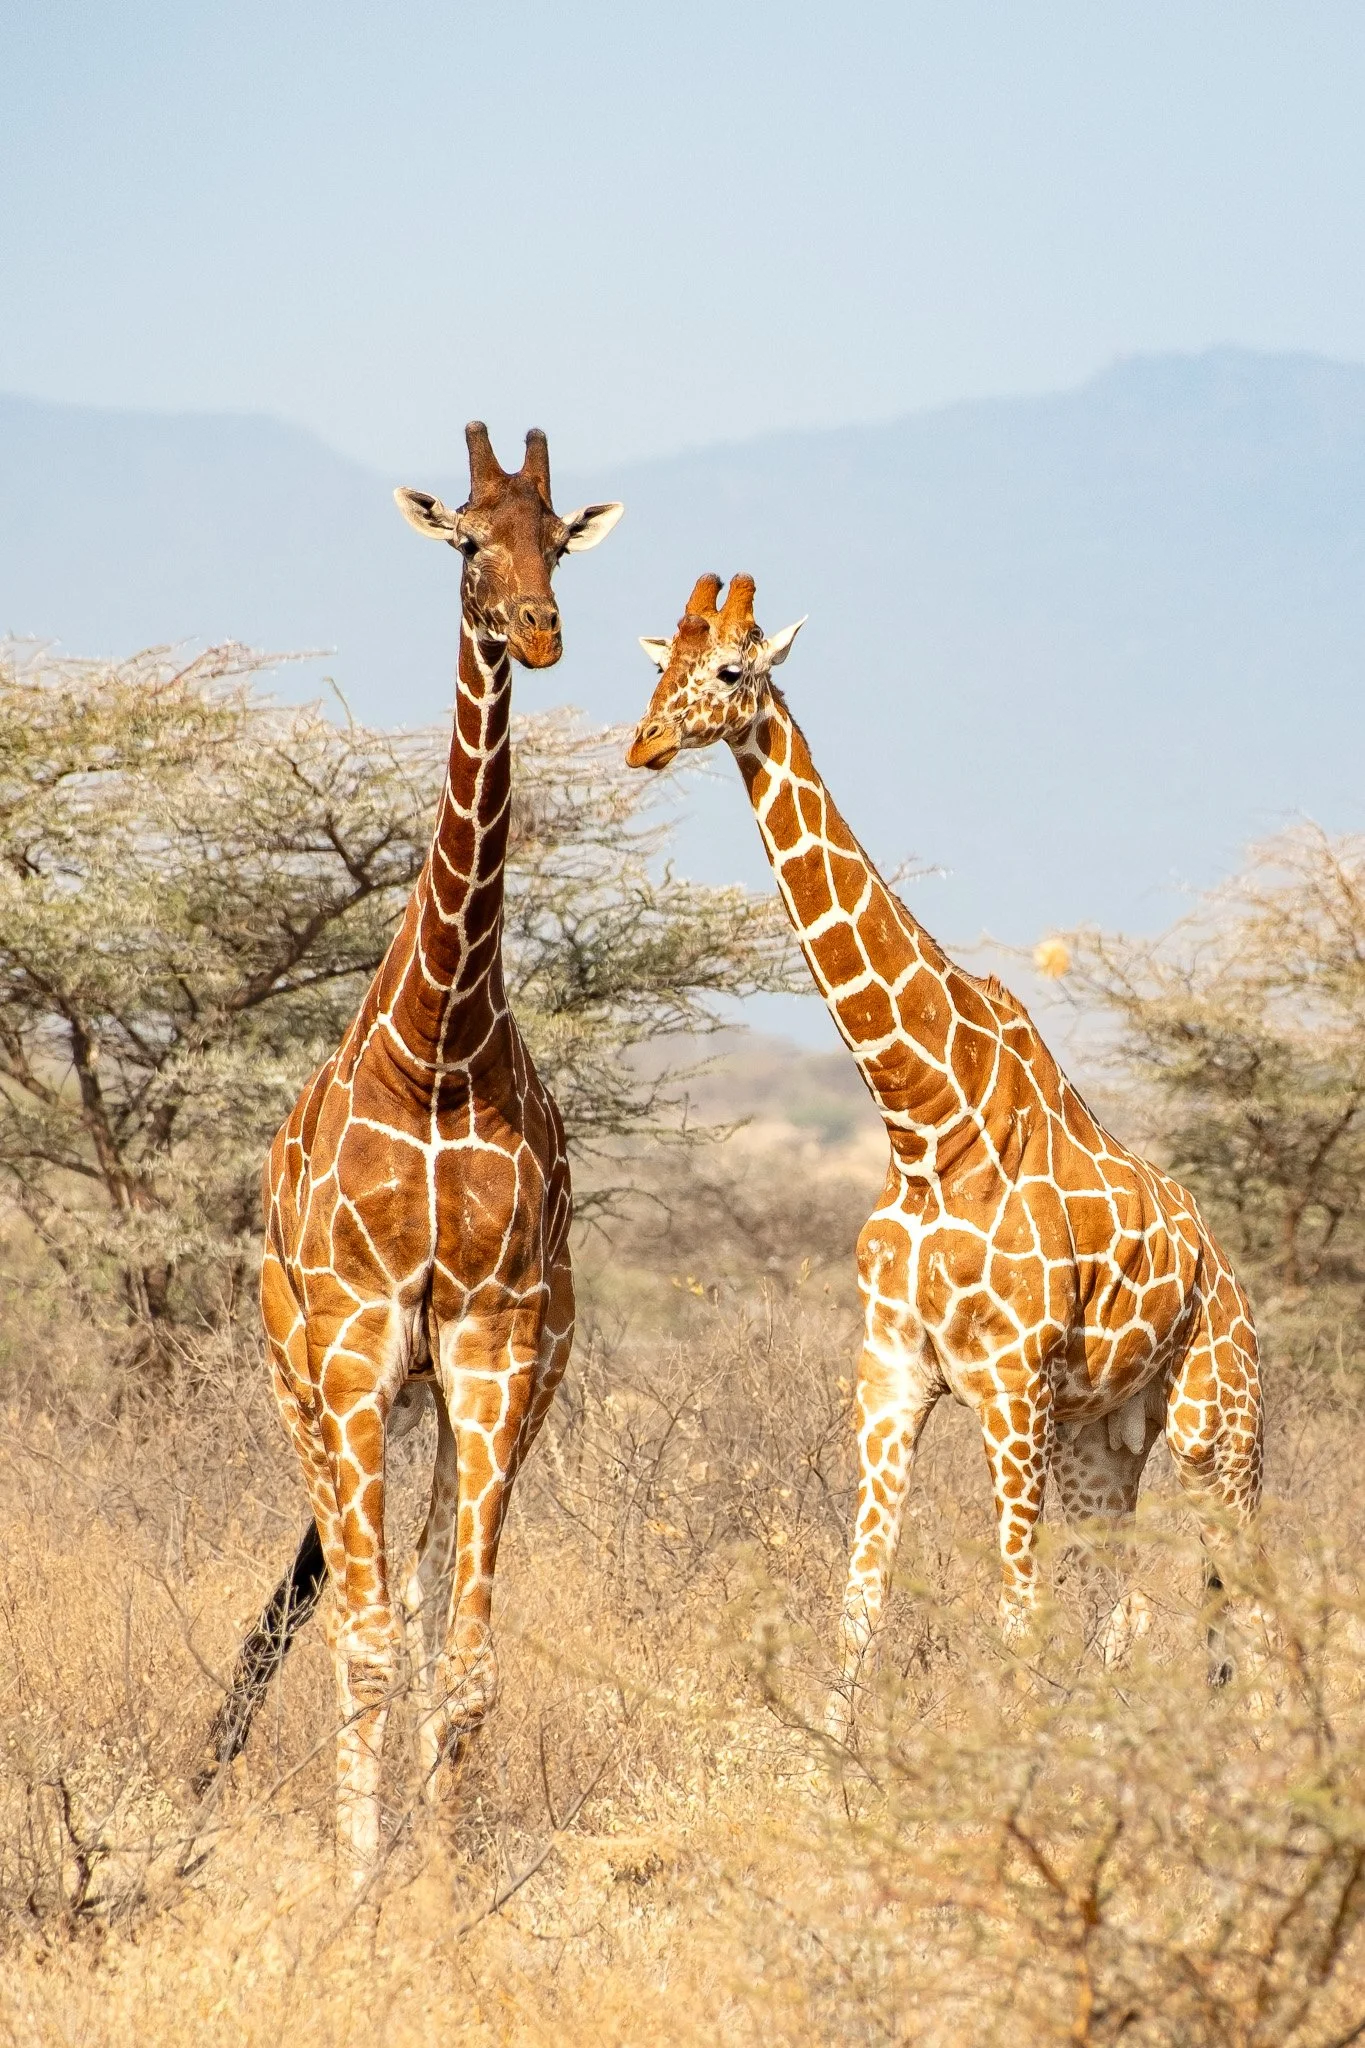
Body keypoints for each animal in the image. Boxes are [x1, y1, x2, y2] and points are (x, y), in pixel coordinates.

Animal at [626, 572, 1264, 1738]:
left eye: (731, 668)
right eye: (656, 666)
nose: (642, 743)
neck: (925, 1121)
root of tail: (1231, 1283)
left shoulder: (1009, 1386)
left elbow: (1013, 1613)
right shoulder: (890, 1372)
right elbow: (860, 1601)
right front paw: (831, 1758)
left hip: (1216, 1431)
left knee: (1247, 1604)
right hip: (1105, 1438)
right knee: (1126, 1606)